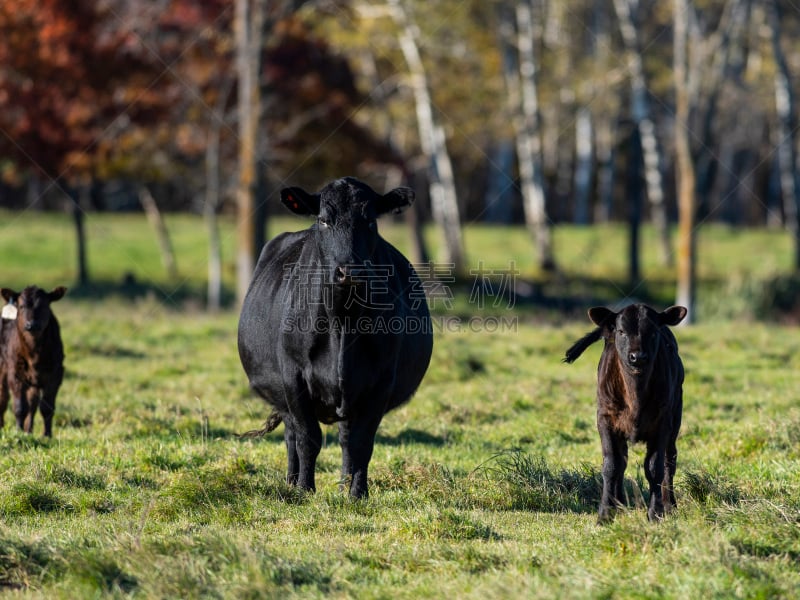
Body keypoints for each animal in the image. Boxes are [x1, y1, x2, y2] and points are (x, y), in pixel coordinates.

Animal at [0, 286, 66, 436]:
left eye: (45, 306)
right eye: (21, 306)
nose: (32, 325)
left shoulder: (55, 375)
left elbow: (46, 407)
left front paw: (47, 435)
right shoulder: (15, 373)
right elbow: (19, 407)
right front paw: (18, 431)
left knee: (32, 403)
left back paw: (28, 431)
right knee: (3, 398)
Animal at [238, 177, 432, 496]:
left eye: (370, 221)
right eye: (324, 220)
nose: (349, 271)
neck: (342, 322)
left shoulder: (380, 381)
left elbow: (361, 443)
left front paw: (357, 494)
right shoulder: (293, 376)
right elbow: (308, 438)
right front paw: (305, 489)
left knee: (345, 440)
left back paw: (342, 485)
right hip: (283, 394)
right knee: (292, 435)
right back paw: (291, 482)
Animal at [564, 302, 688, 524]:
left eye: (653, 331)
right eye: (621, 331)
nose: (638, 357)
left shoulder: (662, 422)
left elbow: (654, 467)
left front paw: (655, 513)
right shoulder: (605, 419)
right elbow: (611, 465)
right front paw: (605, 513)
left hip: (676, 418)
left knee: (670, 460)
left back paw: (670, 505)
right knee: (622, 462)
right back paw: (619, 503)